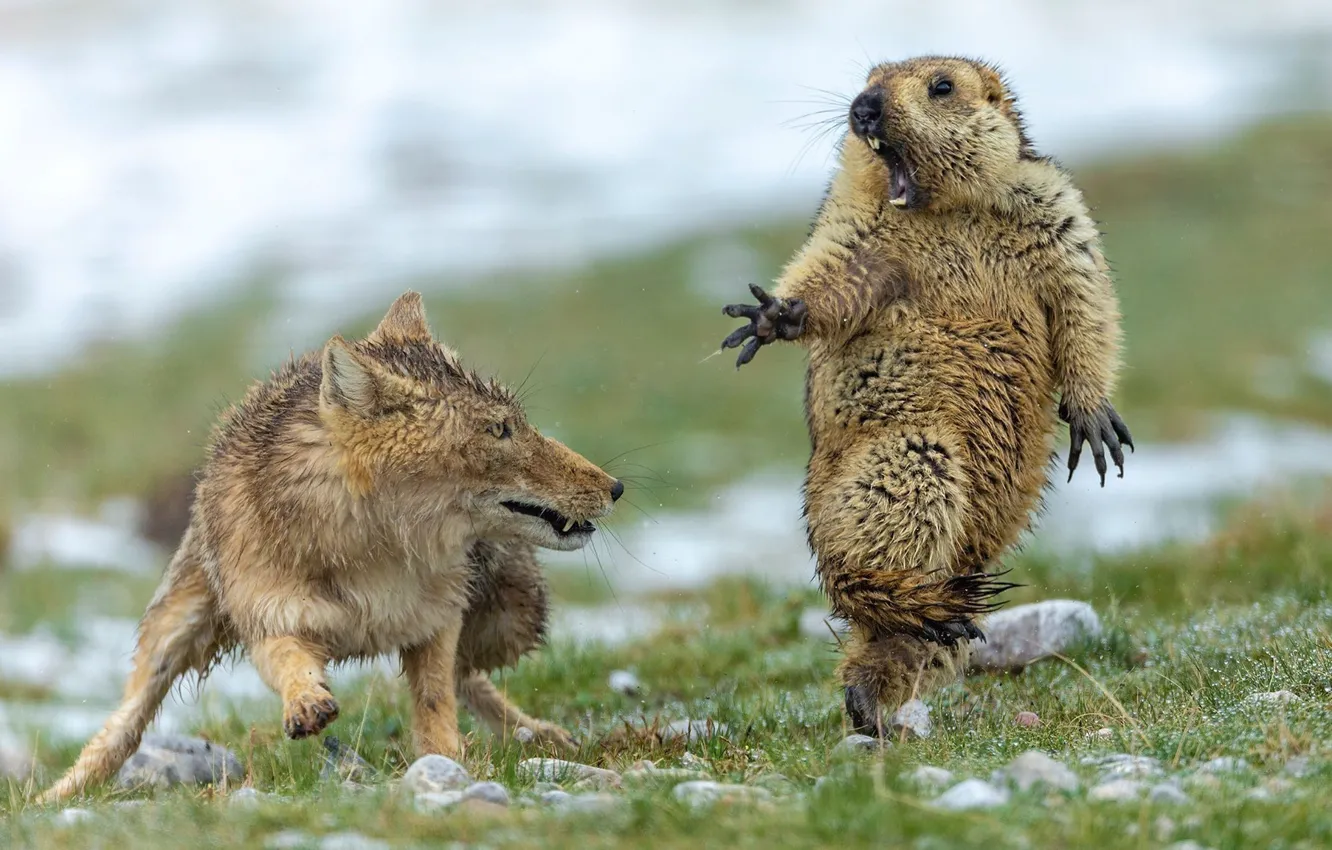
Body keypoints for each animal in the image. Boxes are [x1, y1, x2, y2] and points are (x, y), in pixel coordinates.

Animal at [40, 291, 623, 803]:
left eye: (517, 423)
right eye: (499, 430)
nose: (616, 487)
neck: (372, 555)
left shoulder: (435, 620)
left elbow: (436, 701)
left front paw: (448, 763)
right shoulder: (271, 619)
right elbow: (289, 662)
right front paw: (306, 704)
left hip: (512, 619)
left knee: (470, 676)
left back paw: (540, 734)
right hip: (173, 630)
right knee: (123, 726)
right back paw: (53, 796)